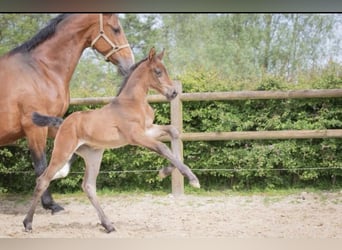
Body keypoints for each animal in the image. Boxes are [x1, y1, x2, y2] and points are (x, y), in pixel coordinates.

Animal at [0, 13, 134, 213]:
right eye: (116, 29)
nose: (130, 64)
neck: (41, 69)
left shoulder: (52, 124)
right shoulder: (34, 128)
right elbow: (41, 166)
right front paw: (50, 204)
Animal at [23, 48, 200, 232]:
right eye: (158, 71)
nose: (173, 93)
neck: (133, 102)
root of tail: (64, 122)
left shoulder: (148, 129)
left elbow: (174, 132)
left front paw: (165, 171)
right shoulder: (135, 135)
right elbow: (162, 147)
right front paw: (192, 179)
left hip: (93, 155)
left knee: (88, 186)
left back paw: (108, 225)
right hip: (62, 152)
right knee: (43, 180)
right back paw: (28, 223)